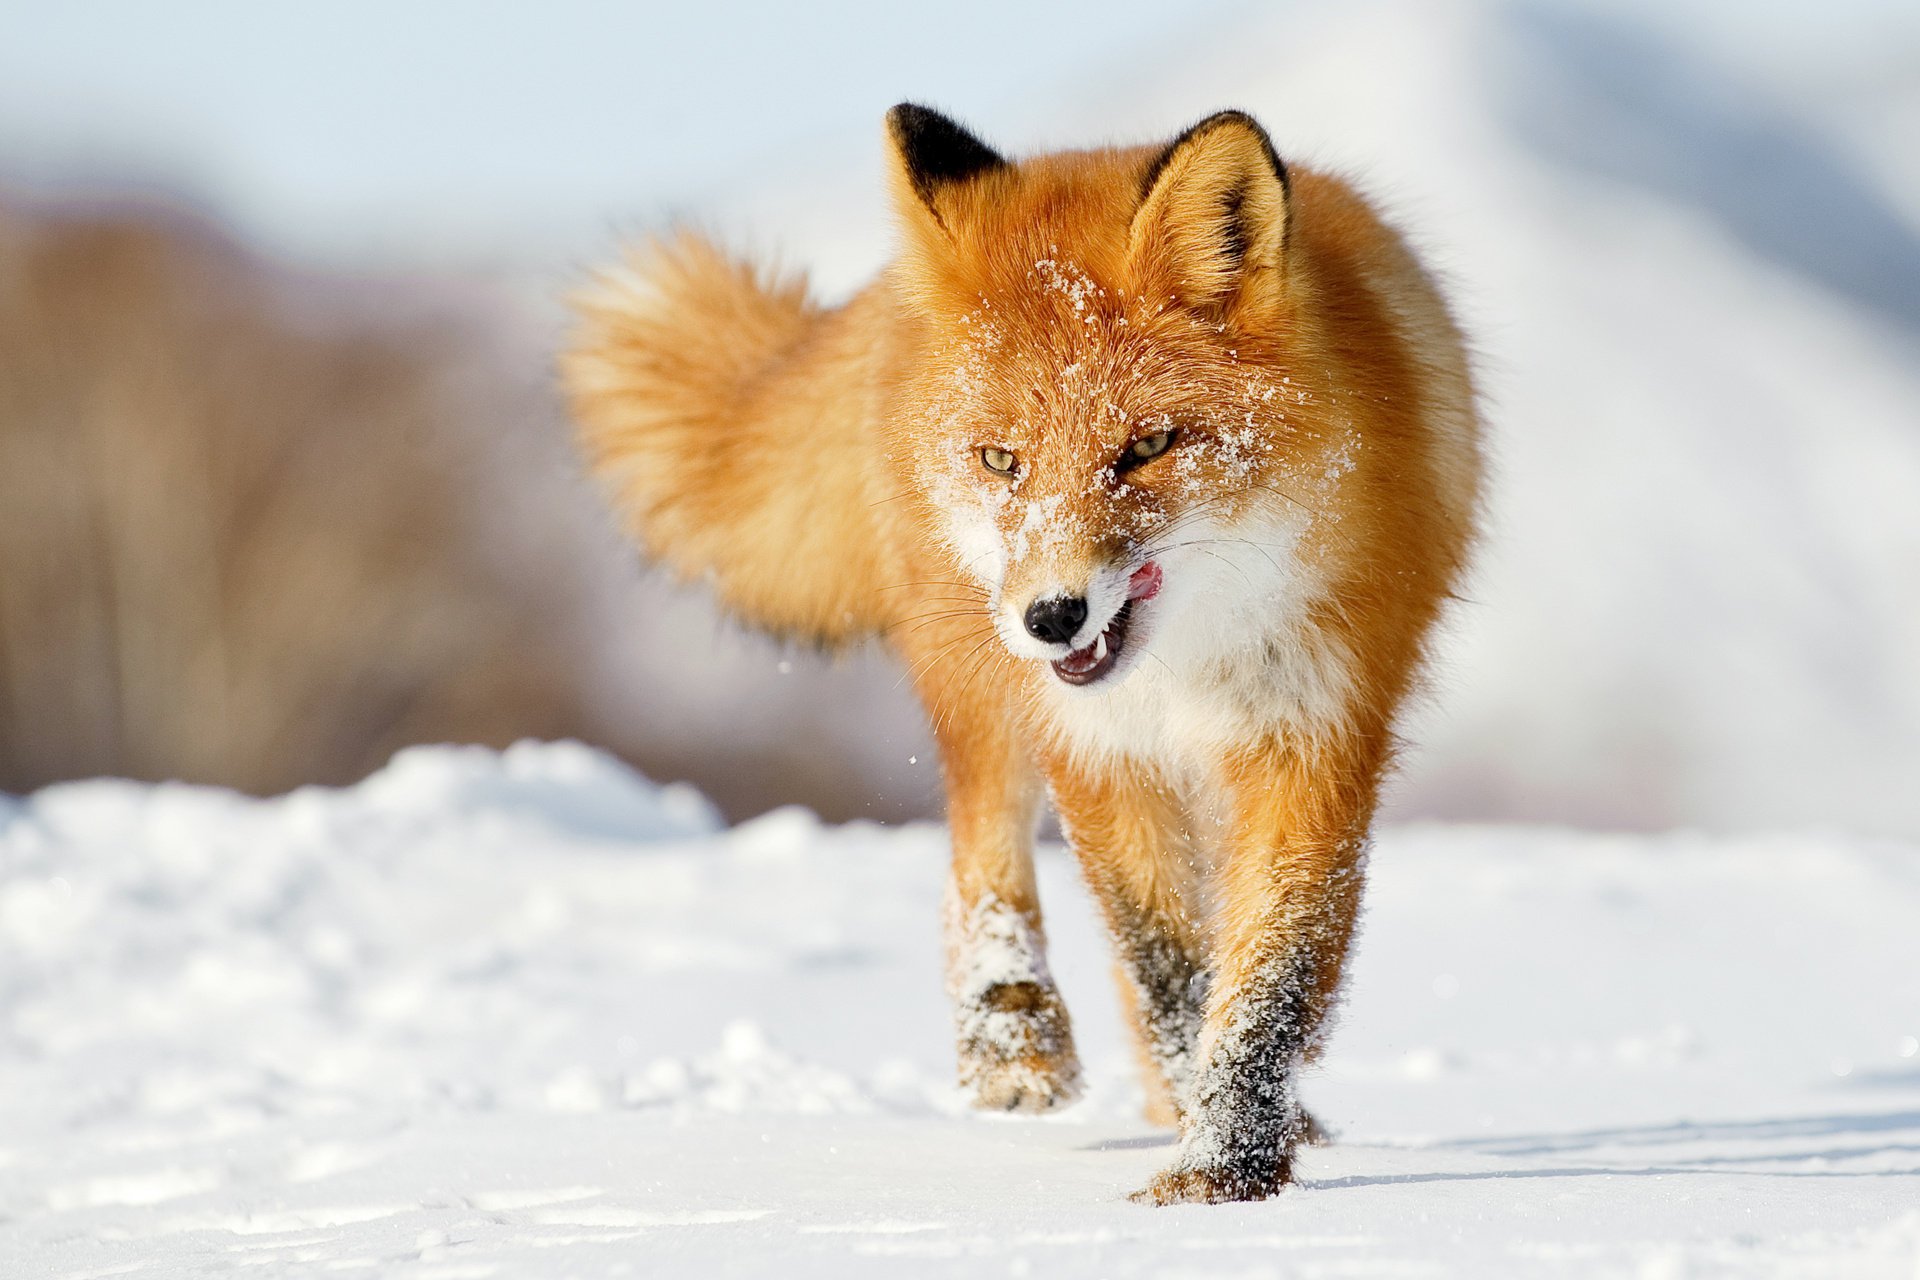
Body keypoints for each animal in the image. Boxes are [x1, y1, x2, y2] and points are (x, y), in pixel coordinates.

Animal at [561, 104, 1481, 1204]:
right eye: (1003, 459)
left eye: (1146, 447)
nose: (1052, 616)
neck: (1187, 667)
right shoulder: (1098, 749)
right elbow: (1167, 965)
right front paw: (1213, 1152)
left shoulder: (1314, 734)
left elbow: (1267, 977)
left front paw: (1225, 1164)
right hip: (978, 682)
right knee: (981, 851)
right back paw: (1013, 1040)